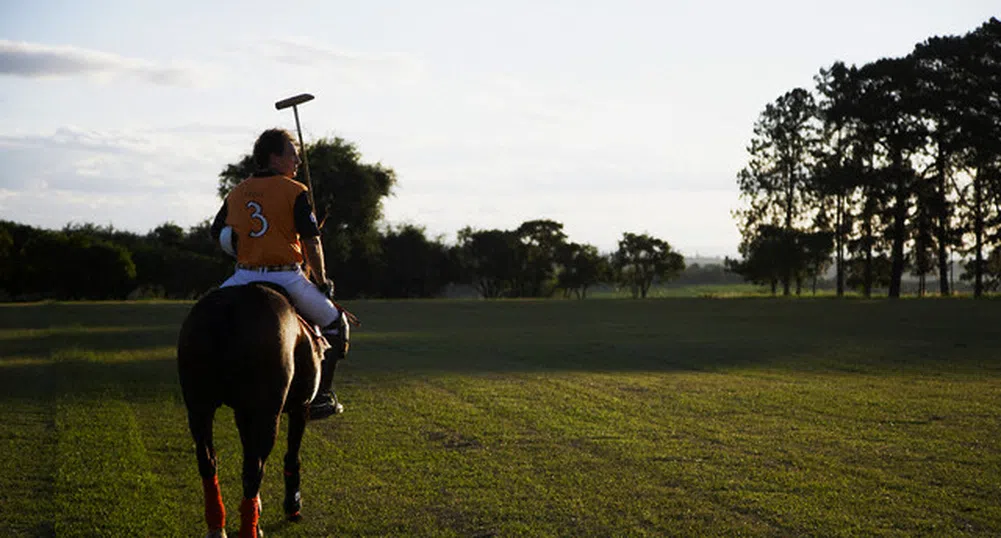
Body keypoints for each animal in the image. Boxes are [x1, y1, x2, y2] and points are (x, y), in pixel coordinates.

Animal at [176, 282, 324, 532]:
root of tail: (228, 307)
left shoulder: (243, 411)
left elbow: (246, 452)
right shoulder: (300, 406)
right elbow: (291, 456)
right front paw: (293, 505)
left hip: (198, 406)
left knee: (208, 460)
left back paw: (217, 526)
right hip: (268, 414)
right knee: (255, 468)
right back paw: (250, 528)